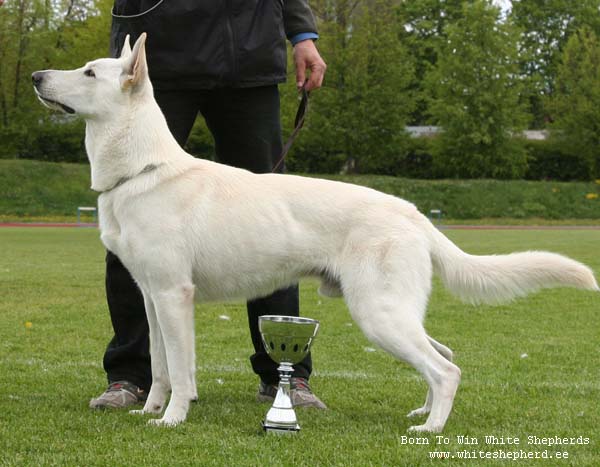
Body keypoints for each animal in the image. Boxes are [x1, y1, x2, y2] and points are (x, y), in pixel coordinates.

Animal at [34, 34, 600, 434]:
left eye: (89, 72)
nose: (38, 75)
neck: (142, 169)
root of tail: (413, 213)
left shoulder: (175, 296)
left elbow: (182, 370)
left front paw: (173, 420)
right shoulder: (153, 299)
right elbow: (159, 366)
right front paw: (150, 411)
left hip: (378, 314)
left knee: (447, 370)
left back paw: (433, 429)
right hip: (394, 313)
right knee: (444, 356)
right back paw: (424, 414)